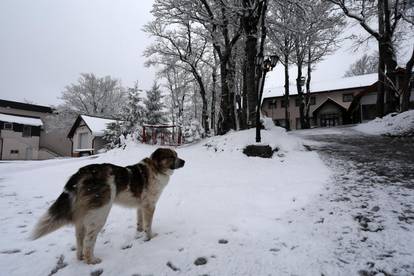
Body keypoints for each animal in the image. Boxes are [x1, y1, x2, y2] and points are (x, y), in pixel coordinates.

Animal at [29, 148, 184, 264]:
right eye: (171, 156)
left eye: (176, 155)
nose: (184, 161)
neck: (156, 168)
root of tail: (82, 171)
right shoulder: (149, 205)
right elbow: (148, 225)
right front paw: (150, 237)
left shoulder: (141, 205)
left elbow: (140, 222)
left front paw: (139, 233)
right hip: (100, 213)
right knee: (89, 240)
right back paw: (91, 260)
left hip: (83, 215)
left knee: (79, 237)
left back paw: (80, 257)